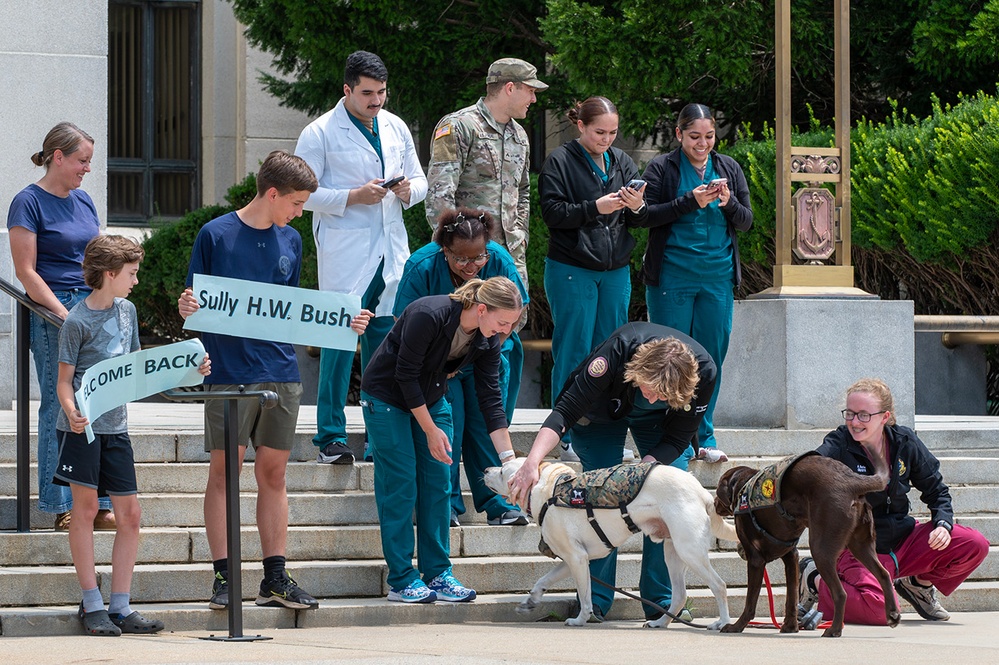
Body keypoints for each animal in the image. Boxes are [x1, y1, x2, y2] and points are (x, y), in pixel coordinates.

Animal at [484, 456, 736, 628]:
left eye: (502, 471)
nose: (486, 469)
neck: (546, 490)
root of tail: (702, 492)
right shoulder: (574, 559)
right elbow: (543, 580)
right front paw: (531, 600)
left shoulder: (577, 558)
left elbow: (586, 597)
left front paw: (580, 619)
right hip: (673, 552)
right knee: (680, 595)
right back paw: (660, 623)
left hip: (689, 551)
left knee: (719, 585)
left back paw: (722, 623)